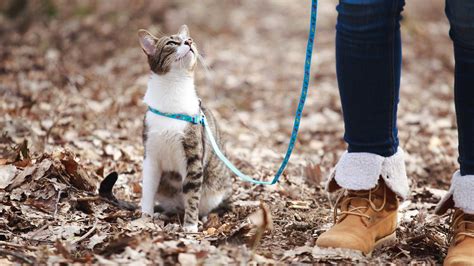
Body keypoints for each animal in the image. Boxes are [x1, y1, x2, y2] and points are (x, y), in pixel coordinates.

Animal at [137, 25, 233, 233]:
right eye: (172, 42)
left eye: (190, 39)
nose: (189, 42)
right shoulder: (151, 155)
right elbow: (148, 189)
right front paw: (145, 217)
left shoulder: (193, 158)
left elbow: (192, 195)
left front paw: (190, 226)